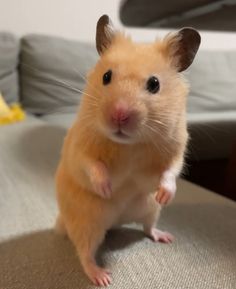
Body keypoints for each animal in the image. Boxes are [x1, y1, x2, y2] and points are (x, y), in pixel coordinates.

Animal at [55, 14, 201, 284]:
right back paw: (102, 277)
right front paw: (107, 189)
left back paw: (164, 236)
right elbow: (91, 165)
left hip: (150, 210)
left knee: (147, 228)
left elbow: (171, 171)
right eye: (106, 77)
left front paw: (165, 195)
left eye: (154, 84)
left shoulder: (177, 145)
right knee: (84, 253)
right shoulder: (80, 146)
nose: (119, 115)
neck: (130, 145)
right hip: (86, 222)